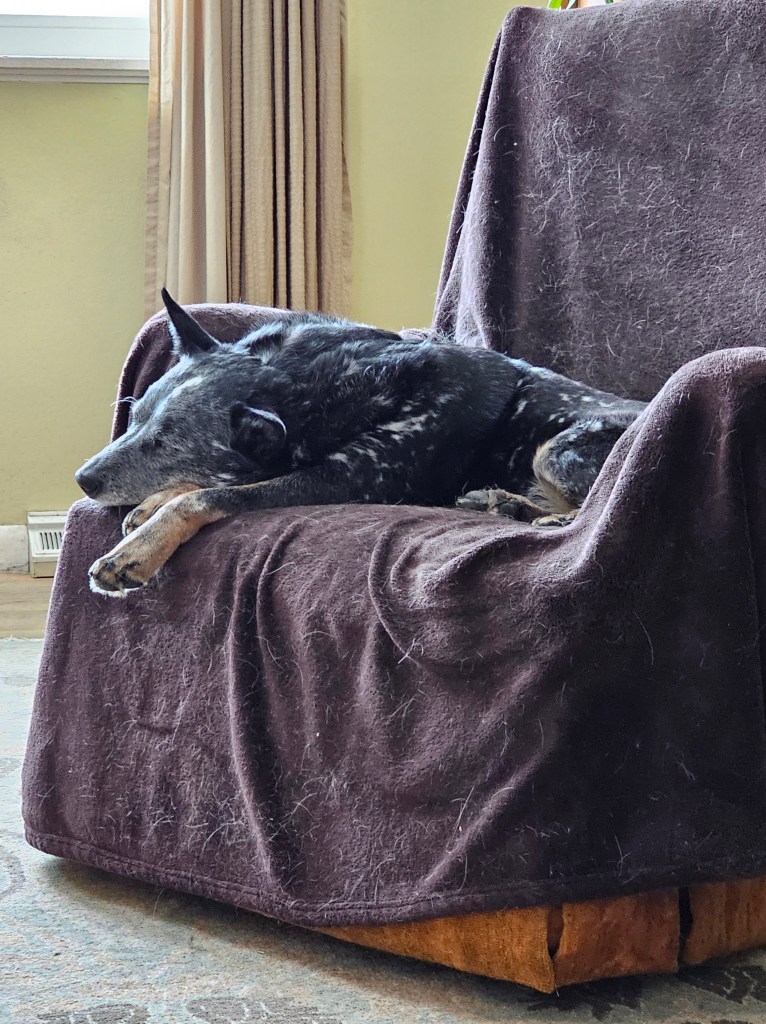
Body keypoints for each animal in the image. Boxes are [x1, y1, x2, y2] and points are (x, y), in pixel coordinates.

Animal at [76, 290, 647, 596]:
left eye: (166, 443)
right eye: (135, 419)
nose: (82, 478)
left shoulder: (347, 479)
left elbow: (210, 496)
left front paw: (136, 550)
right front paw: (152, 502)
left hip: (558, 447)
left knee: (586, 508)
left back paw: (538, 515)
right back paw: (504, 502)